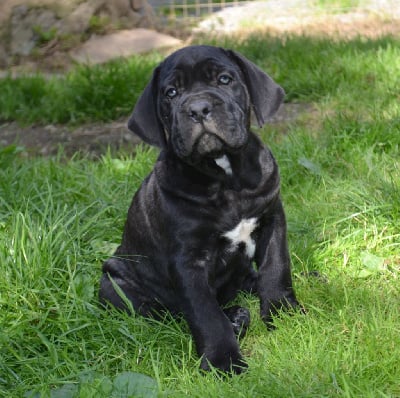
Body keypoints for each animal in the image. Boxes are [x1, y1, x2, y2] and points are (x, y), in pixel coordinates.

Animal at [99, 45, 300, 374]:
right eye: (171, 92)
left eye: (224, 79)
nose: (198, 107)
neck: (225, 176)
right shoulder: (188, 260)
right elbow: (205, 313)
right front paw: (223, 361)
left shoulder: (272, 221)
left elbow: (276, 269)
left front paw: (285, 315)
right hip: (114, 282)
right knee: (166, 312)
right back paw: (235, 318)